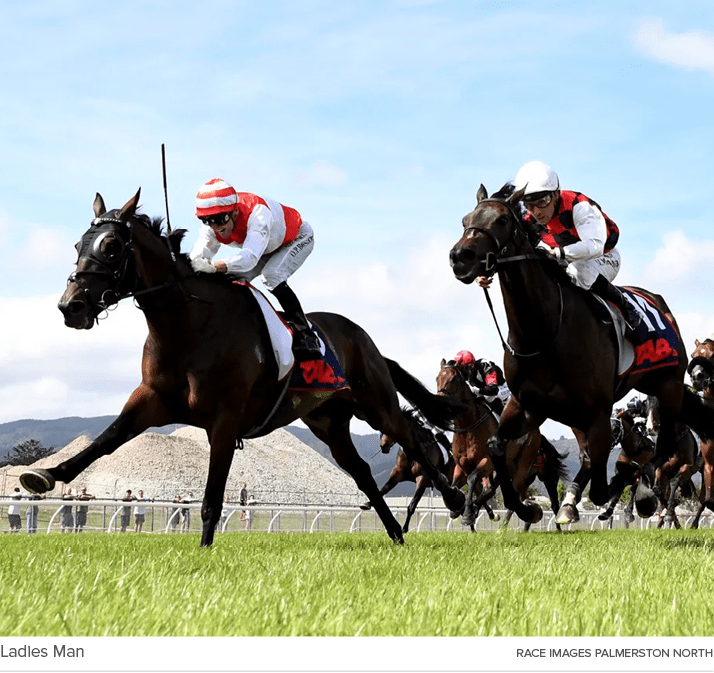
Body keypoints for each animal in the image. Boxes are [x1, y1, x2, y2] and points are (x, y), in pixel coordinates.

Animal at [19, 189, 464, 544]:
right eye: (78, 243)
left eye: (111, 246)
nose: (70, 306)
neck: (189, 325)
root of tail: (363, 338)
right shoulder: (152, 399)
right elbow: (105, 440)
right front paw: (45, 474)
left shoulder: (224, 419)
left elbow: (211, 499)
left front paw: (203, 553)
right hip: (328, 422)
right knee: (363, 472)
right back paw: (395, 535)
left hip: (376, 404)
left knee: (411, 439)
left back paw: (454, 497)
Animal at [448, 182, 712, 524]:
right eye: (466, 220)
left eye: (502, 220)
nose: (460, 257)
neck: (545, 332)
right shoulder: (526, 406)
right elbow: (496, 449)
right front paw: (525, 508)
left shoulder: (598, 411)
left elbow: (607, 481)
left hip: (667, 385)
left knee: (662, 446)